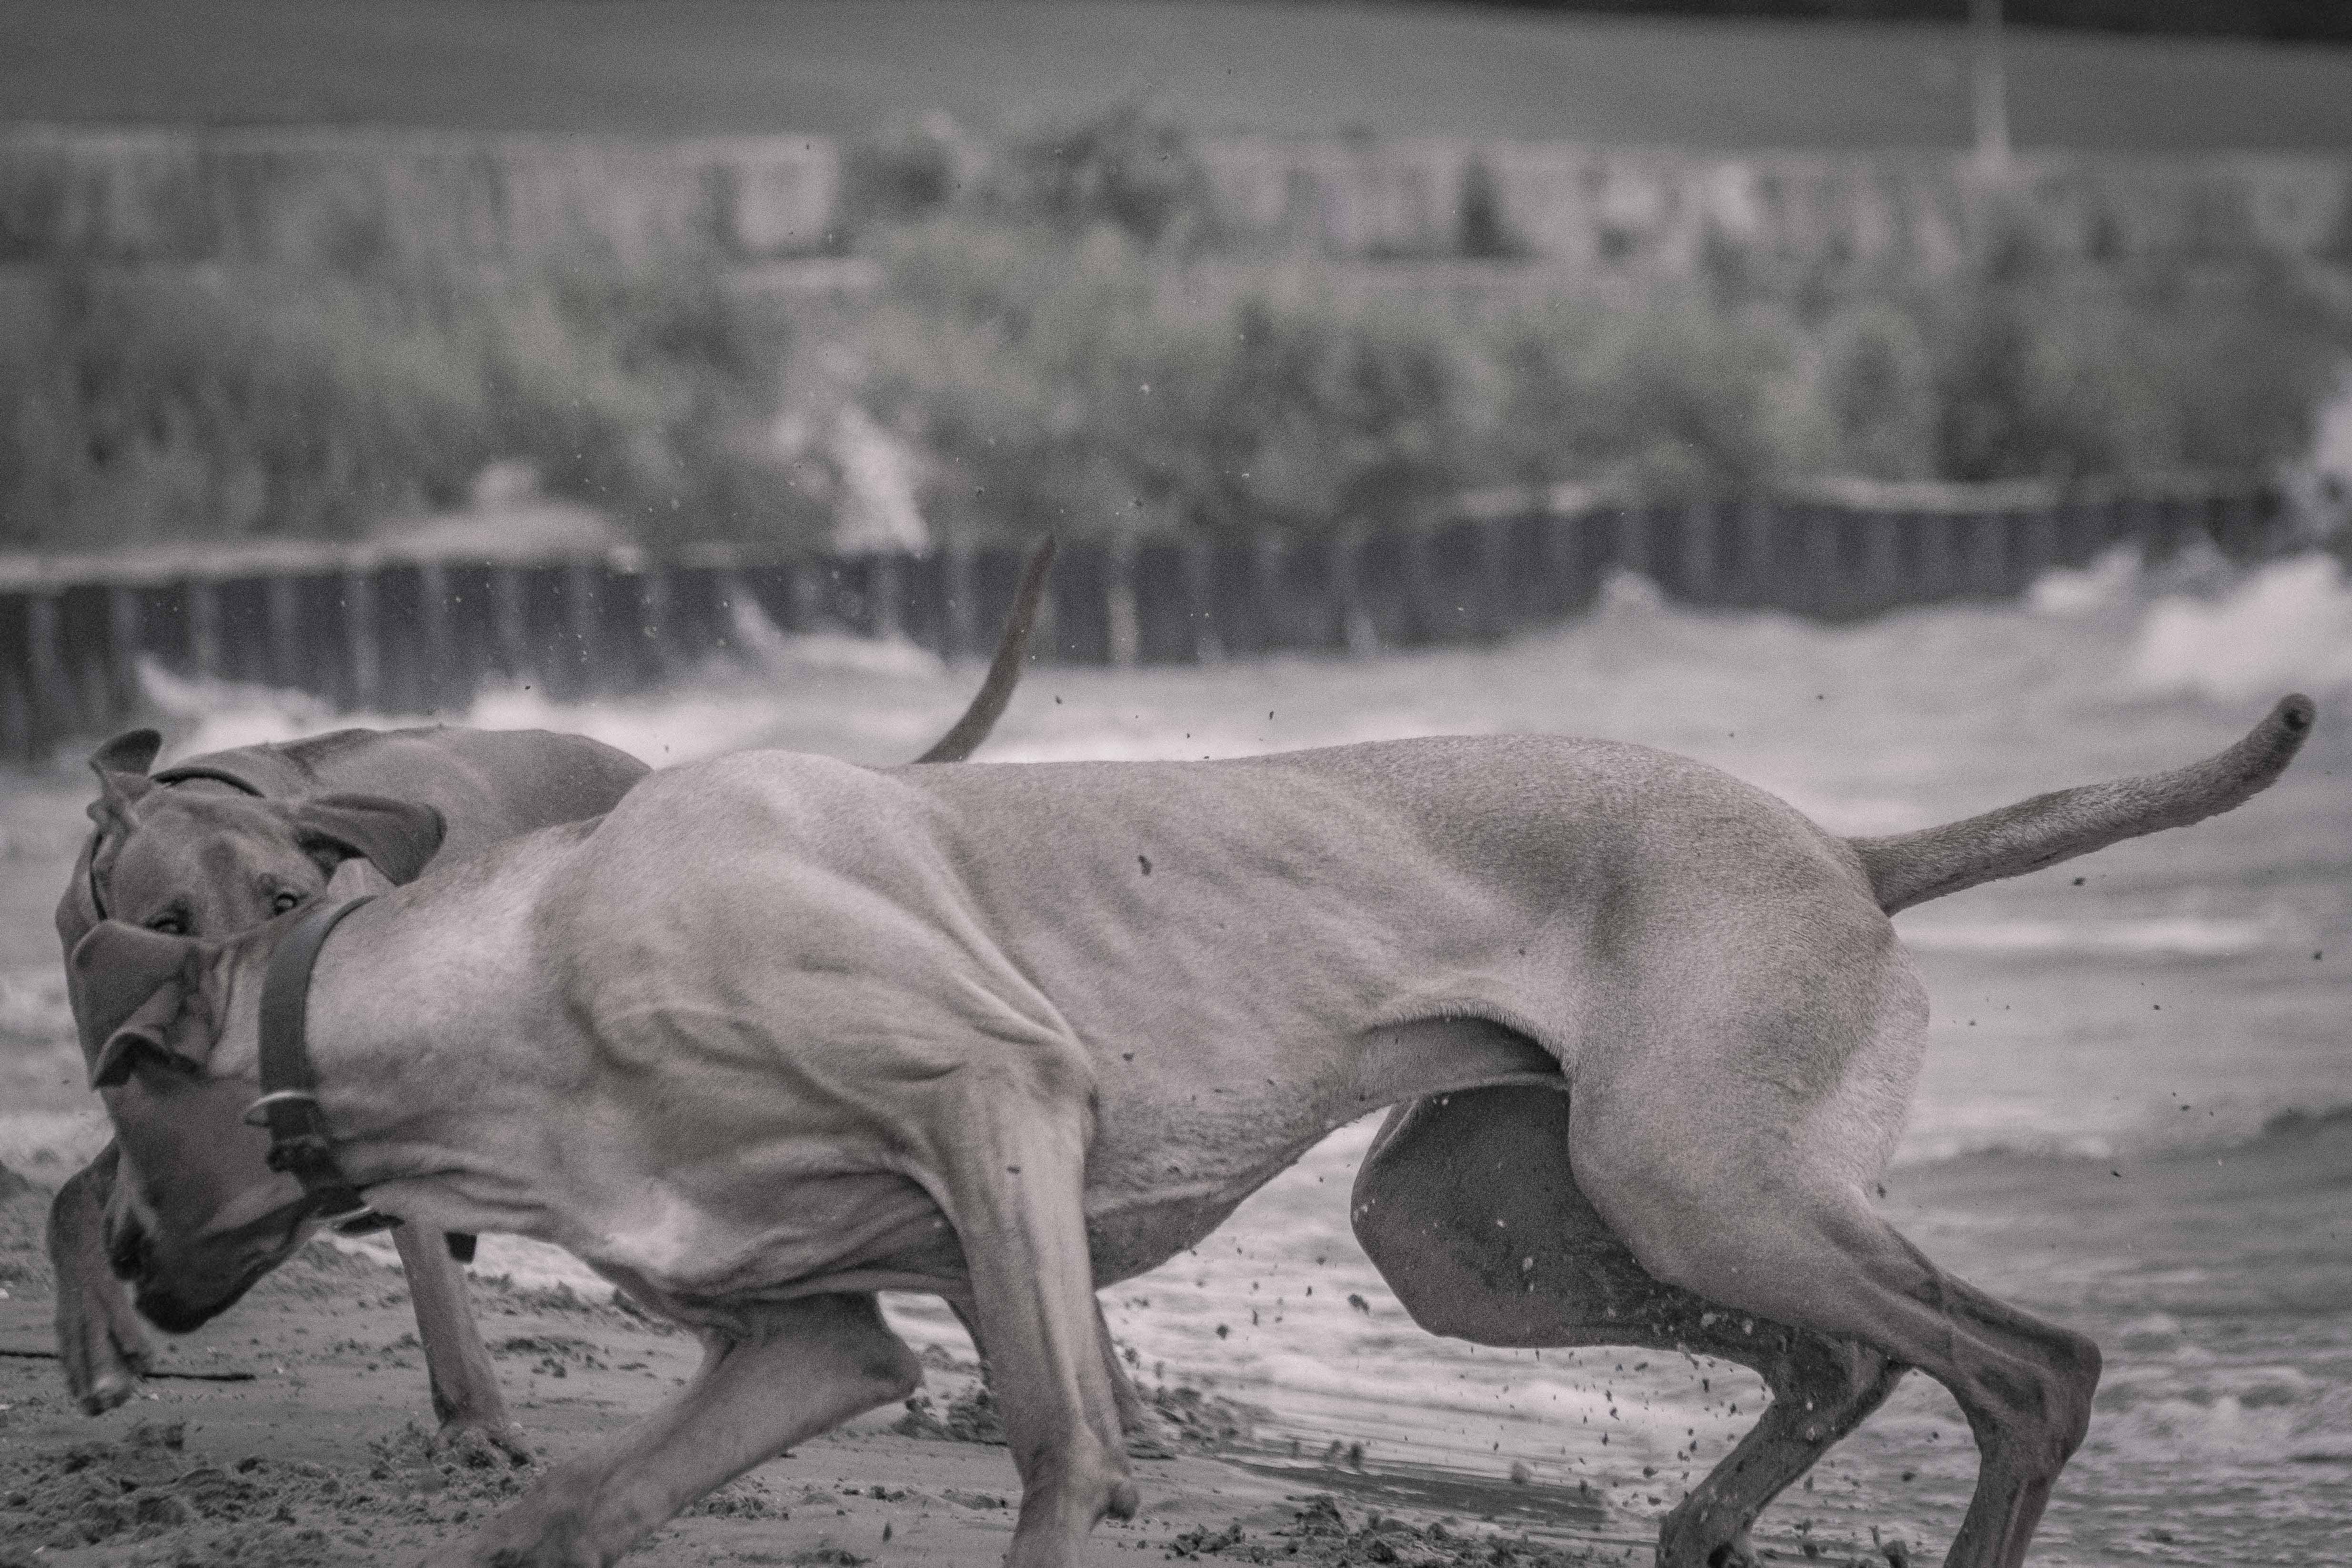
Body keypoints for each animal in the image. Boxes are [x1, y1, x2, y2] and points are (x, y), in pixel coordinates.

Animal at [78, 700, 2314, 1568]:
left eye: (113, 1109)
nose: (120, 1281)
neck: (518, 966)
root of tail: (1843, 848)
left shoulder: (995, 1093)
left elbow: (1066, 1447)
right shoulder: (812, 1335)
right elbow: (567, 1505)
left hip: (1695, 1177)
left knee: (2026, 1366)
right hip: (1489, 1228)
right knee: (1842, 1359)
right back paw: (1691, 1527)